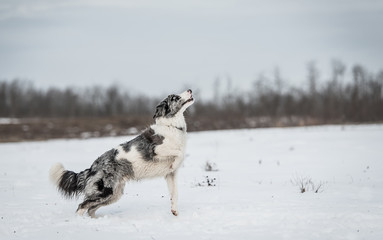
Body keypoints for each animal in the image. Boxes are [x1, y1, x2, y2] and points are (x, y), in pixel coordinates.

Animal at [50, 89, 195, 217]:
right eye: (175, 98)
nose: (190, 90)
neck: (172, 126)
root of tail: (92, 167)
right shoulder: (155, 150)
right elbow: (179, 153)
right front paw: (175, 162)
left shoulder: (170, 175)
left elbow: (175, 194)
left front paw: (174, 211)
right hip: (106, 192)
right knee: (82, 205)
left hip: (114, 194)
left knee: (90, 209)